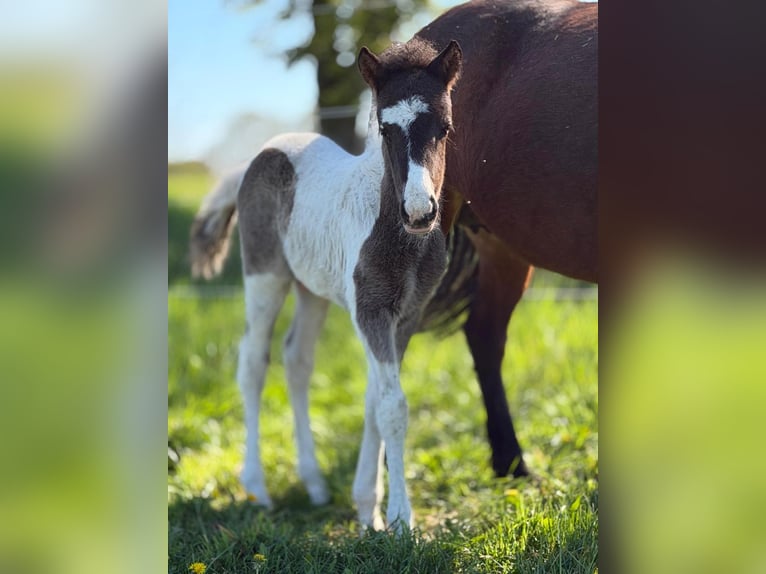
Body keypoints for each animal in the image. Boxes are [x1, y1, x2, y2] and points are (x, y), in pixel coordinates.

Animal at [189, 41, 462, 530]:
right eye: (385, 129)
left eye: (444, 127)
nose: (420, 212)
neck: (398, 236)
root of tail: (260, 155)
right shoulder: (370, 312)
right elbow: (393, 407)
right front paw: (400, 521)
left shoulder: (406, 315)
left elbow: (375, 401)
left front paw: (368, 510)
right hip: (265, 277)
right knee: (253, 362)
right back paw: (257, 488)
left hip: (311, 290)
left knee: (297, 360)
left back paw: (315, 483)